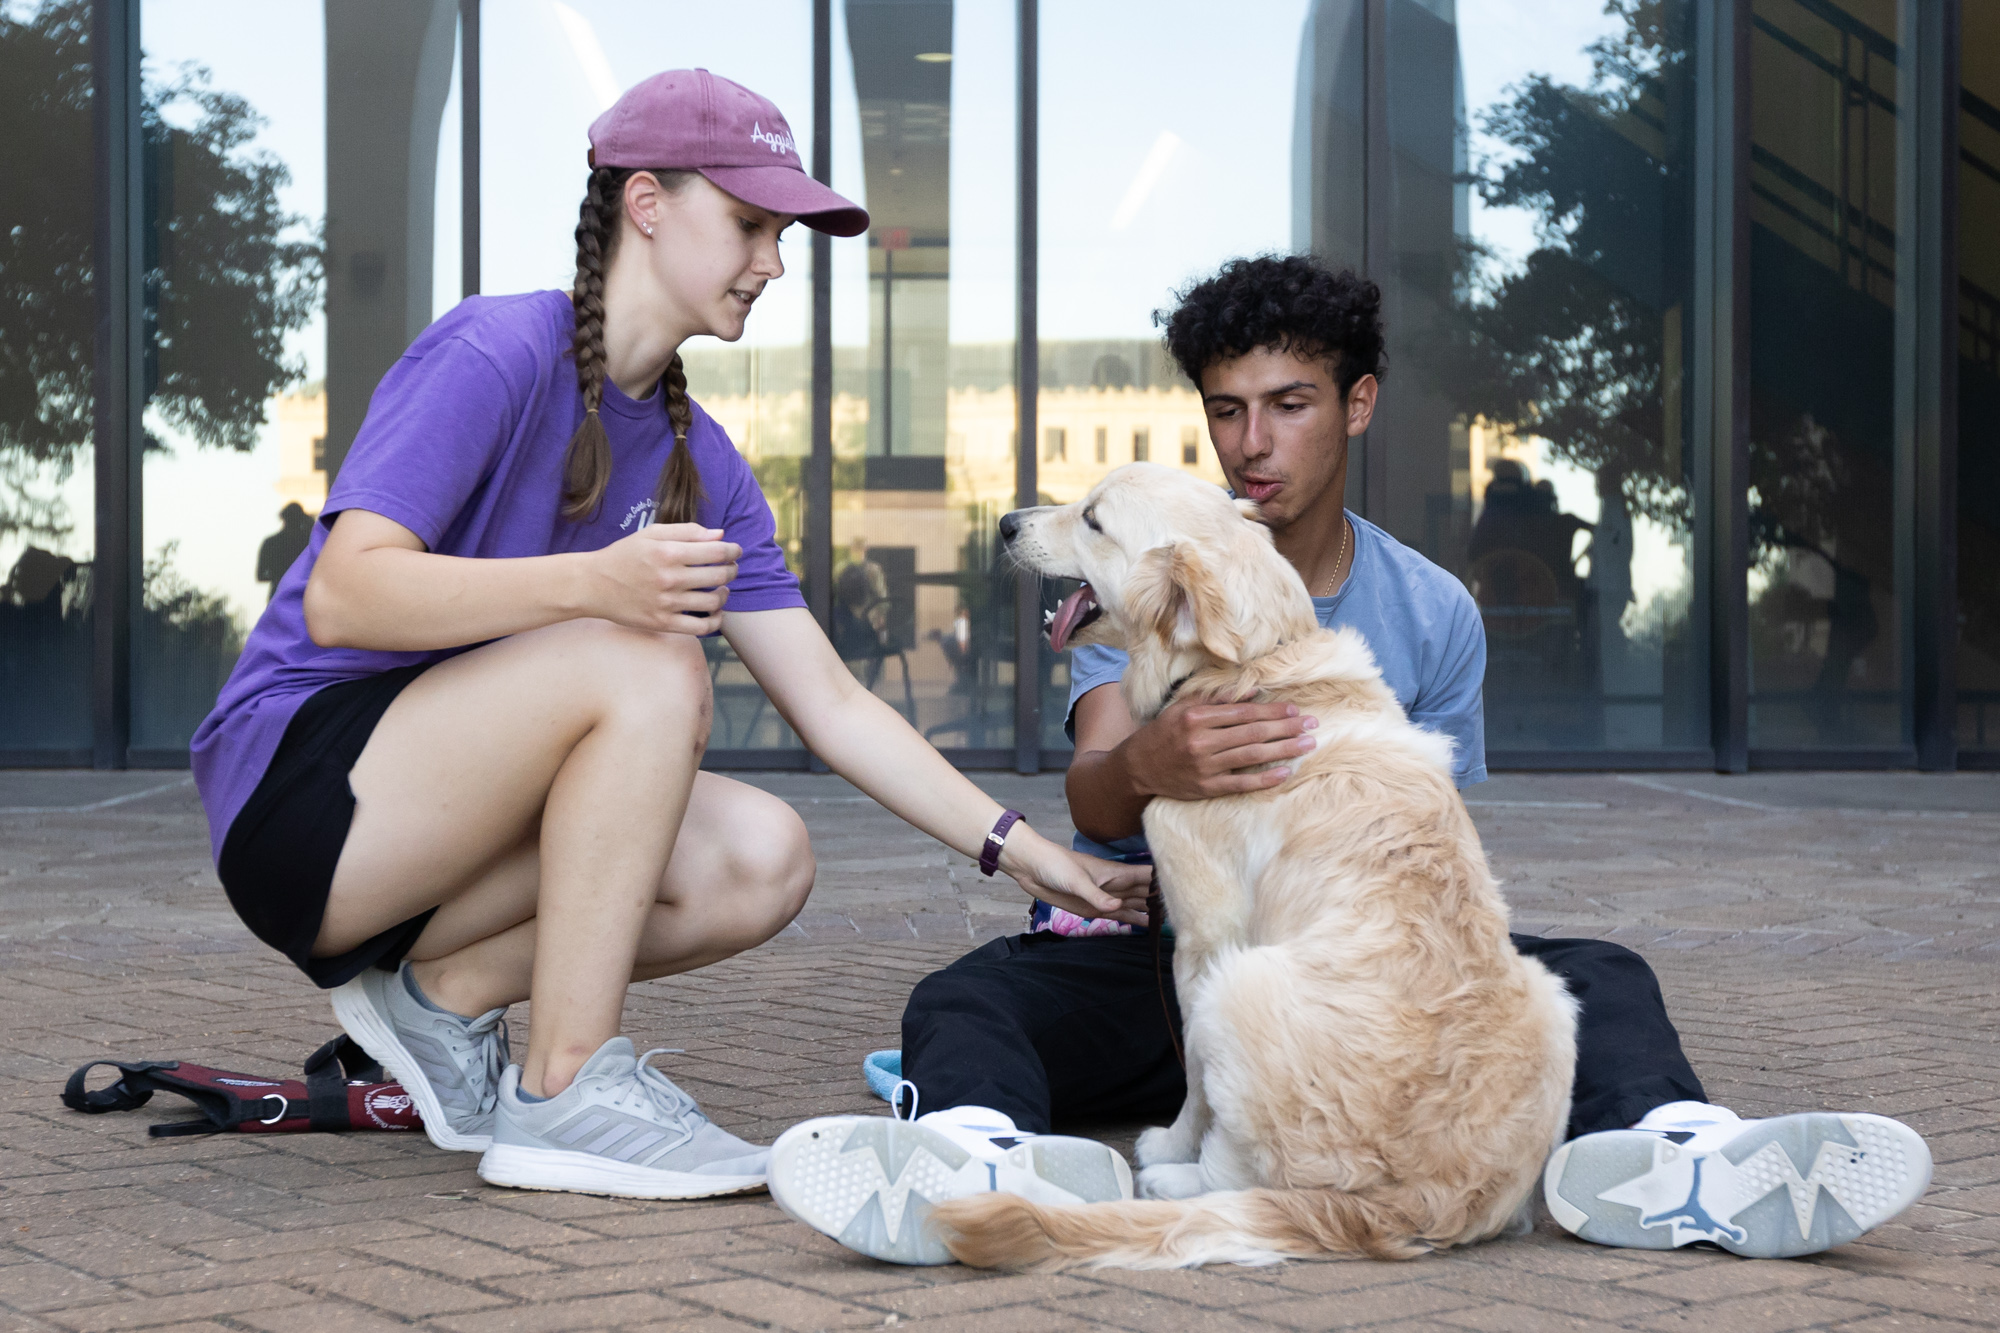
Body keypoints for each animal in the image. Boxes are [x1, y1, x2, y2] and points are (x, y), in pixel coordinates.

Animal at [936, 462, 1576, 1264]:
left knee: (1233, 1167)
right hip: (1553, 997)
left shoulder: (1205, 939)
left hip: (1241, 983)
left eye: (1093, 519)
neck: (1256, 666)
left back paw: (1170, 1177)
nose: (1006, 524)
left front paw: (1172, 1143)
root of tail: (1413, 1206)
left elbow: (1196, 1082)